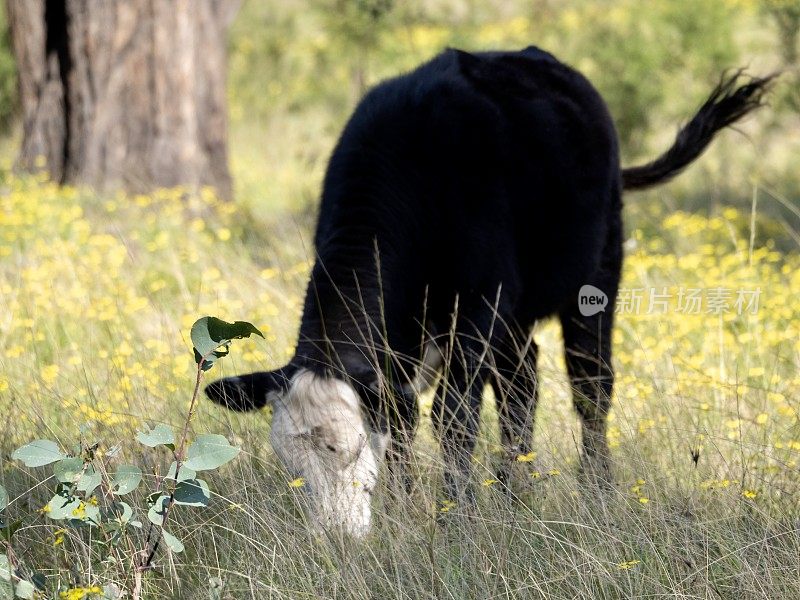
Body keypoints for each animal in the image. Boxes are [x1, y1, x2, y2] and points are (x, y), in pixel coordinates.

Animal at [205, 45, 768, 536]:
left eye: (348, 449)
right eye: (290, 465)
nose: (336, 538)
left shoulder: (475, 312)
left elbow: (453, 421)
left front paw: (455, 518)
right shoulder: (402, 348)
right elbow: (406, 430)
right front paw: (407, 510)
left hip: (595, 277)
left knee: (591, 386)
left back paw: (595, 490)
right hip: (514, 320)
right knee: (524, 385)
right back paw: (515, 492)